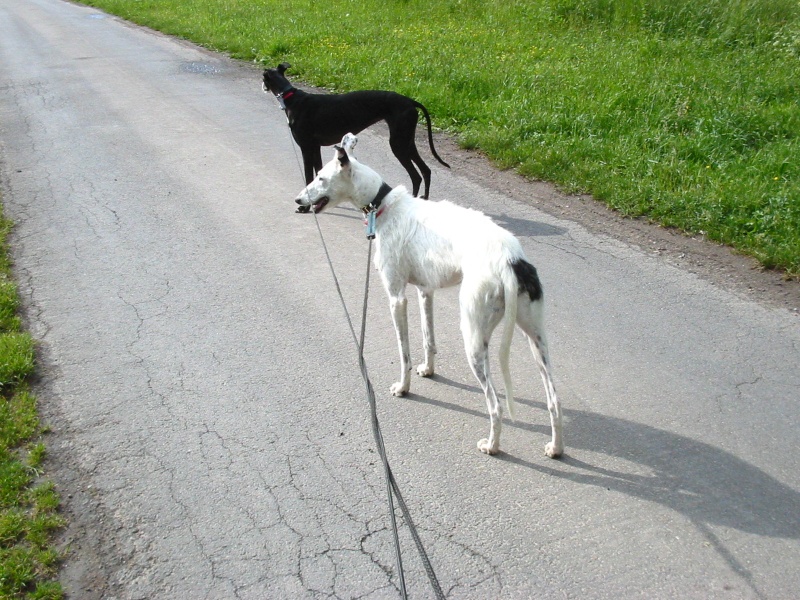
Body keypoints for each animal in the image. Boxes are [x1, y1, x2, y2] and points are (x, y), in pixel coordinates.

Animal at [264, 63, 446, 209]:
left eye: (264, 78)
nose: (263, 86)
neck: (292, 98)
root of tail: (410, 101)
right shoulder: (315, 147)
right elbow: (318, 172)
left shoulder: (306, 147)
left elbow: (309, 175)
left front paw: (304, 207)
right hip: (406, 140)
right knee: (426, 171)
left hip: (398, 143)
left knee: (416, 175)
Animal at [294, 134, 564, 458]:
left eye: (321, 177)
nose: (297, 200)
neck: (383, 204)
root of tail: (509, 260)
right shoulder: (425, 291)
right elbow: (428, 340)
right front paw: (429, 370)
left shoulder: (397, 298)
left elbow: (404, 353)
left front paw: (403, 387)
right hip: (535, 337)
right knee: (554, 400)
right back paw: (555, 447)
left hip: (474, 338)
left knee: (496, 405)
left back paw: (492, 445)